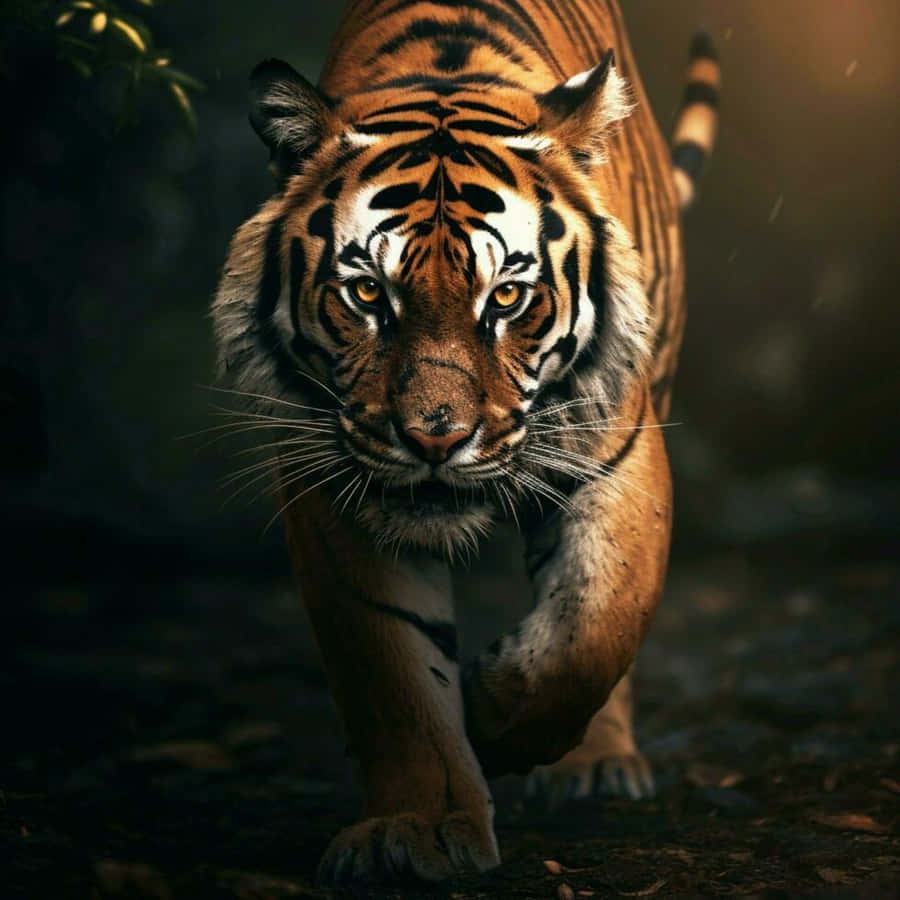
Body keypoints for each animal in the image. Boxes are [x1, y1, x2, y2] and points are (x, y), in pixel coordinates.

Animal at [213, 0, 719, 884]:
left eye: (508, 297)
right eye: (367, 294)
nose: (433, 438)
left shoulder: (618, 451)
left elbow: (596, 623)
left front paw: (497, 714)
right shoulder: (330, 485)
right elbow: (392, 672)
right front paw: (416, 828)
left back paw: (594, 766)